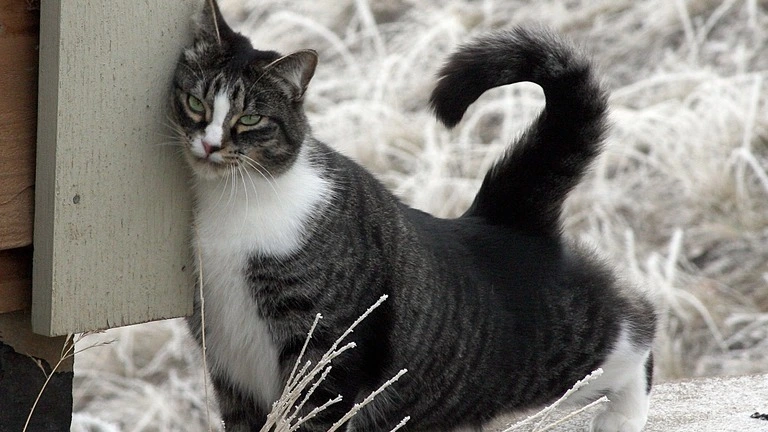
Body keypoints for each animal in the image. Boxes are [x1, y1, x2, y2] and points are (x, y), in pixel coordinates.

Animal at [171, 1, 656, 430]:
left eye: (250, 119)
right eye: (195, 103)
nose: (210, 145)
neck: (234, 200)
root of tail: (502, 217)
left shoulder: (328, 351)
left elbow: (310, 414)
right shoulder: (226, 362)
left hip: (557, 352)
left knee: (638, 325)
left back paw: (624, 414)